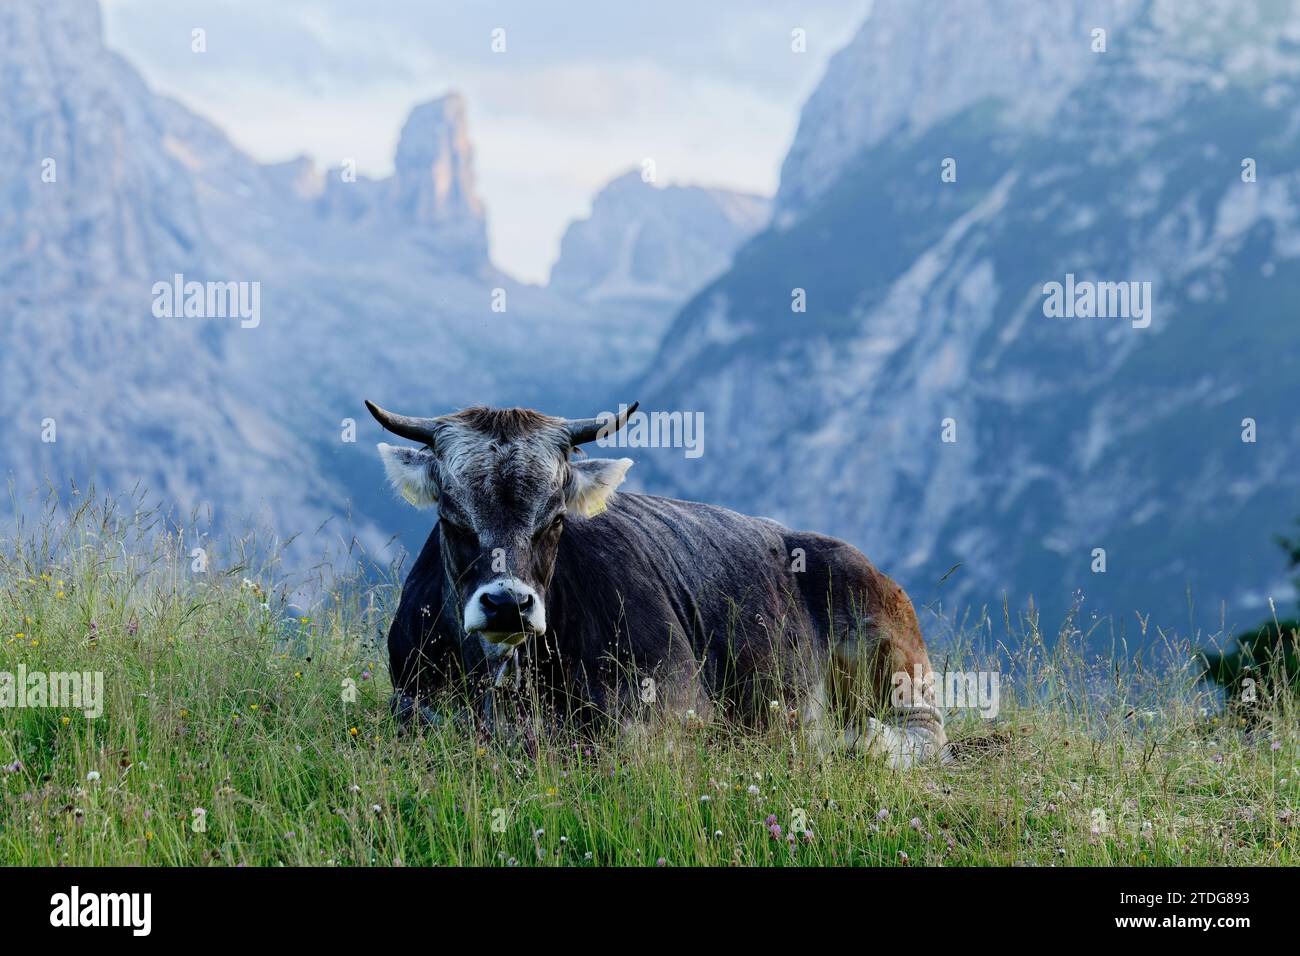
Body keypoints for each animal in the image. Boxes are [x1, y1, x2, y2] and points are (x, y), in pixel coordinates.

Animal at [366, 399, 946, 767]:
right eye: (451, 517)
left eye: (554, 519)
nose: (508, 603)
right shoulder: (409, 696)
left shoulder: (674, 700)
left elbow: (624, 741)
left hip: (893, 655)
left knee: (922, 732)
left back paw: (859, 741)